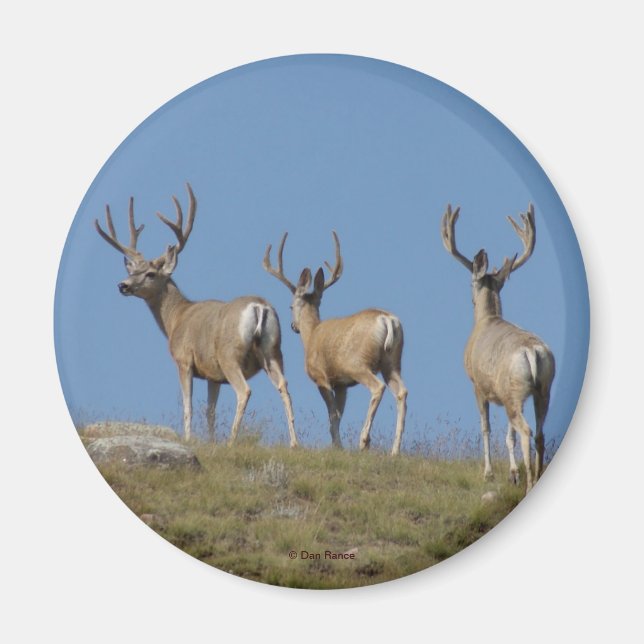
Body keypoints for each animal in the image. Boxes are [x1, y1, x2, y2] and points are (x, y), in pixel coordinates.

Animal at [94, 183, 299, 447]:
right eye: (132, 270)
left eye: (150, 273)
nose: (123, 285)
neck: (176, 318)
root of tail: (259, 306)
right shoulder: (213, 375)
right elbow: (210, 411)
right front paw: (210, 441)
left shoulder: (184, 360)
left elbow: (188, 406)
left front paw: (189, 438)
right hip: (273, 351)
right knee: (284, 386)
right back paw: (294, 443)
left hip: (230, 354)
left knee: (244, 391)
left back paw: (232, 441)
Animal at [263, 231, 407, 455]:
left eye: (290, 306)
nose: (293, 326)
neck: (311, 335)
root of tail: (387, 320)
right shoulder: (341, 384)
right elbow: (338, 415)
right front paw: (337, 445)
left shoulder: (321, 377)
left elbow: (332, 415)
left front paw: (337, 446)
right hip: (392, 362)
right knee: (402, 392)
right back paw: (394, 451)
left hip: (358, 364)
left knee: (378, 388)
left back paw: (364, 440)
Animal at [441, 203, 555, 491]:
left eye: (470, 283)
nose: (470, 299)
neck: (487, 320)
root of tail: (532, 352)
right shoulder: (503, 394)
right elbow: (507, 434)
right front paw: (512, 473)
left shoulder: (477, 385)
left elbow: (486, 428)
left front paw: (489, 473)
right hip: (541, 389)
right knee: (538, 433)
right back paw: (535, 476)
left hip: (514, 390)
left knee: (526, 430)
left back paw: (529, 482)